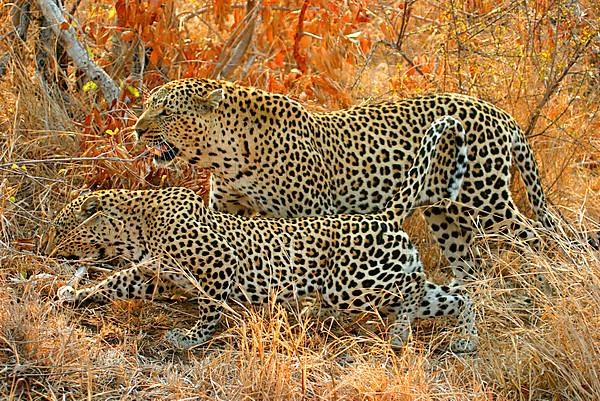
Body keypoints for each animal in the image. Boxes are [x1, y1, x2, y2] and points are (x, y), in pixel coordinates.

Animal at [45, 115, 478, 350]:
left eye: (63, 231)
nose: (48, 251)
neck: (140, 227)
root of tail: (382, 215)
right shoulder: (155, 274)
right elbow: (113, 283)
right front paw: (73, 294)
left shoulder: (218, 264)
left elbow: (210, 306)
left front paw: (192, 337)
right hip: (379, 280)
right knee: (454, 295)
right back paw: (464, 339)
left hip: (351, 285)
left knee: (416, 288)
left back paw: (401, 333)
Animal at [134, 77, 592, 278]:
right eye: (148, 105)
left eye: (165, 111)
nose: (136, 129)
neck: (225, 154)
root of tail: (501, 114)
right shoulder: (225, 207)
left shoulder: (312, 213)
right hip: (446, 214)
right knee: (467, 261)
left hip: (489, 201)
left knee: (540, 238)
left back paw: (552, 283)